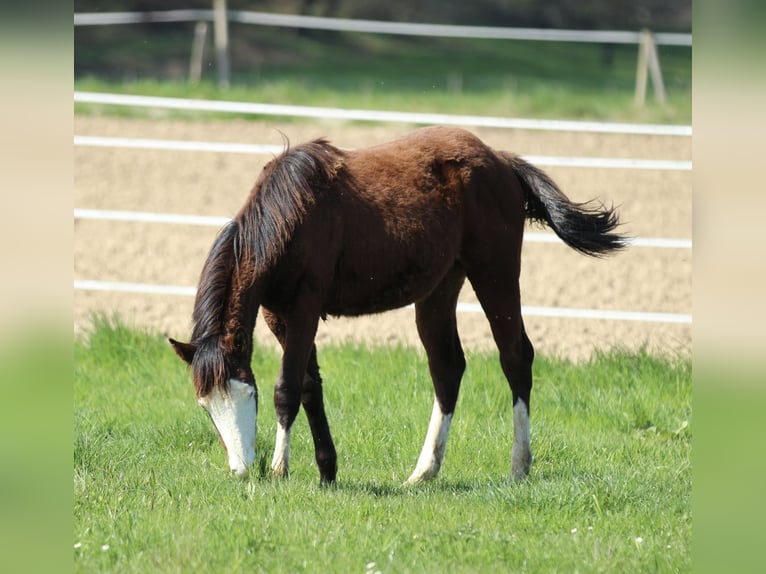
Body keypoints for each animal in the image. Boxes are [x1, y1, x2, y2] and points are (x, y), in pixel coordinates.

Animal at [170, 125, 625, 483]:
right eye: (206, 406)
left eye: (247, 394)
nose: (242, 470)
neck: (290, 216)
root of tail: (502, 161)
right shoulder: (279, 316)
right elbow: (310, 386)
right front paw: (327, 470)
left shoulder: (303, 310)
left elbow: (287, 388)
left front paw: (281, 469)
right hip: (440, 289)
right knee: (447, 368)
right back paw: (424, 472)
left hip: (494, 274)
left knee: (515, 357)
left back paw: (519, 466)